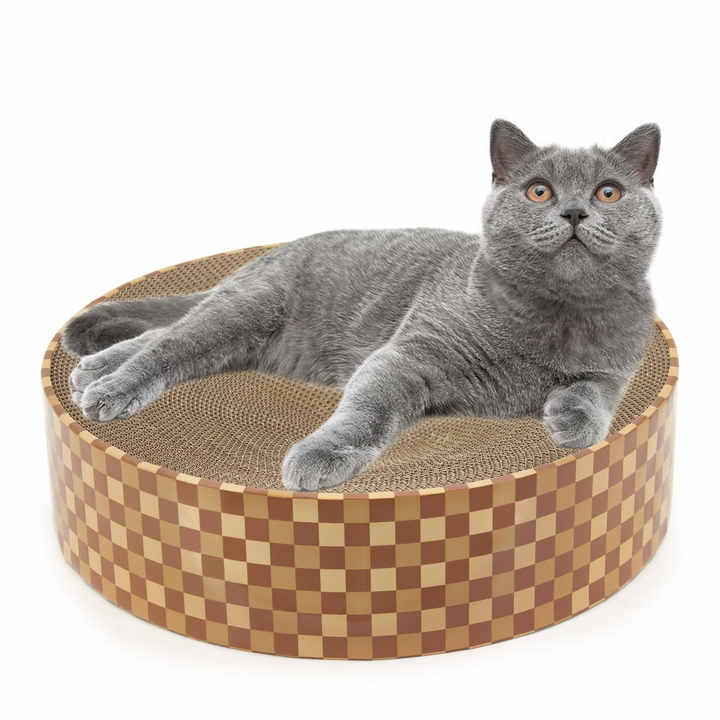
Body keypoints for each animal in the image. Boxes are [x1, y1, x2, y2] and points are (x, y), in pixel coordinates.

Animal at [63, 120, 661, 491]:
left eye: (608, 192)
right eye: (539, 191)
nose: (575, 212)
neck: (556, 315)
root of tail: (274, 251)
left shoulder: (618, 366)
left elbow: (596, 394)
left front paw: (571, 419)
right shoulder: (409, 354)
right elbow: (367, 411)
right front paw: (319, 456)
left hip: (243, 338)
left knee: (165, 336)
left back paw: (92, 369)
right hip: (246, 308)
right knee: (168, 343)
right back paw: (106, 387)